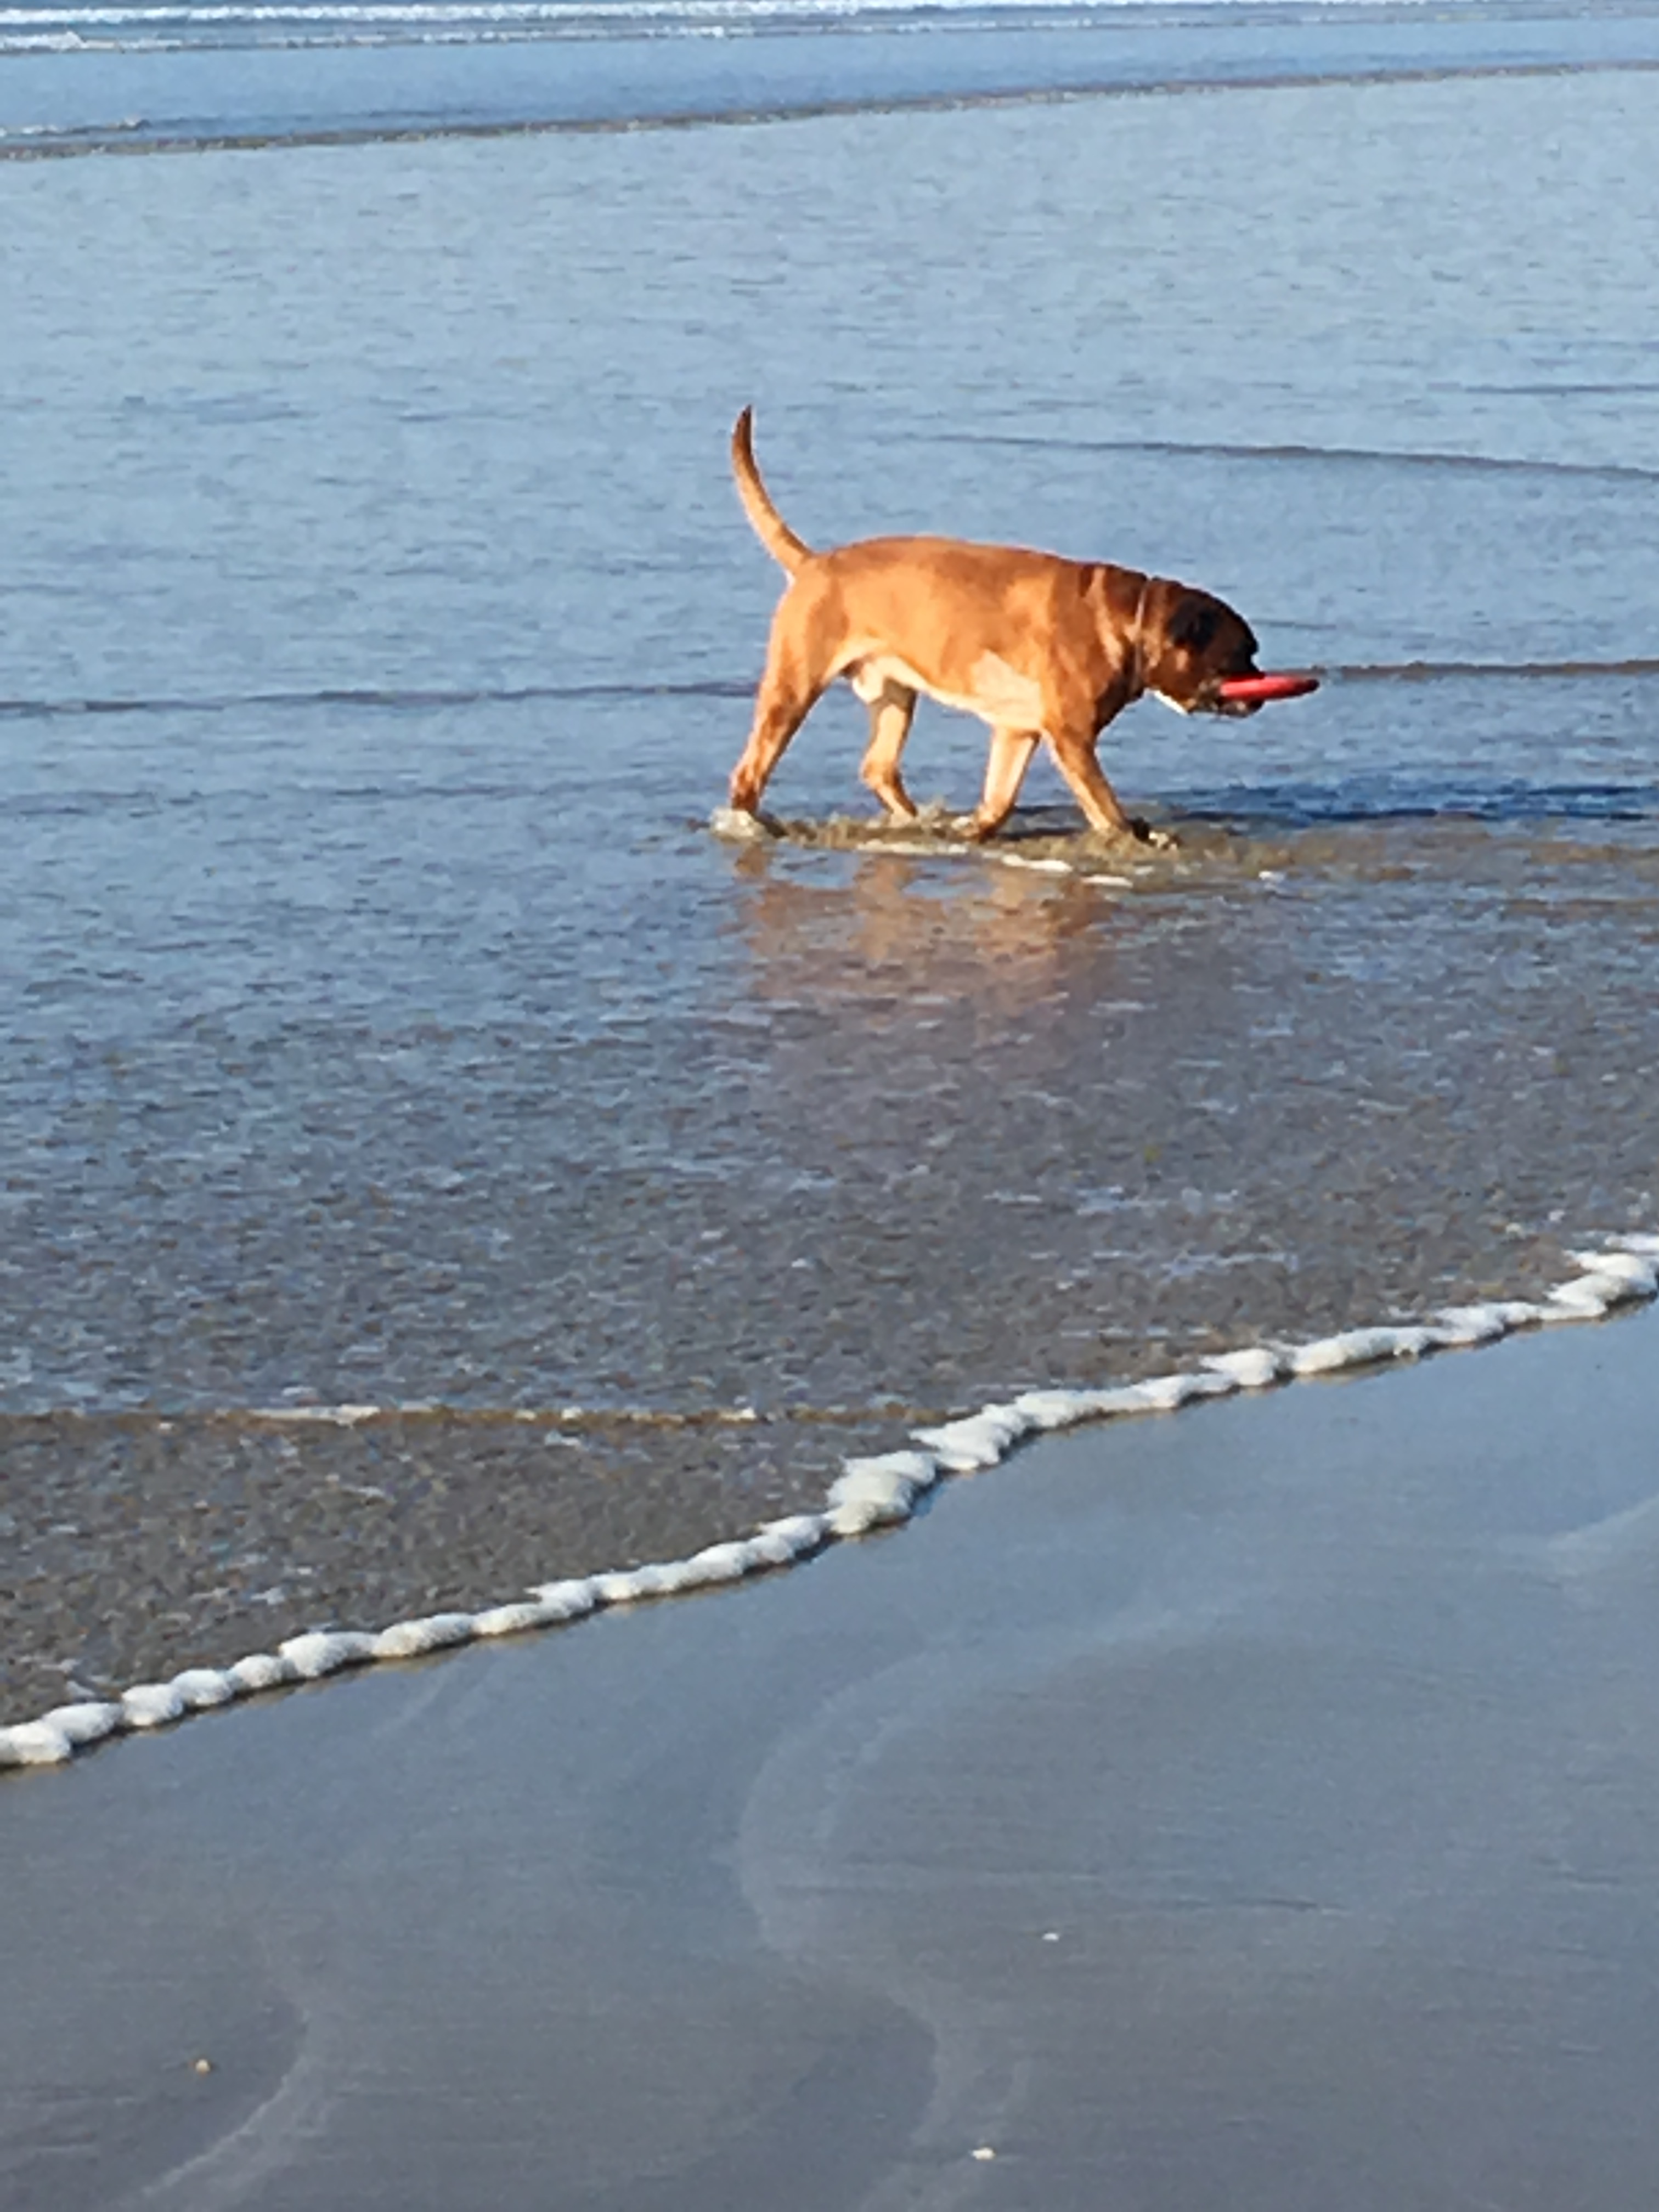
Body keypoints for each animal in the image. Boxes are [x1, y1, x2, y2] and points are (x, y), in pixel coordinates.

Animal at [726, 407, 1264, 844]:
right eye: (1238, 655)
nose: (1260, 687)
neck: (1129, 620)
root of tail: (814, 563)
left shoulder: (1016, 731)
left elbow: (1001, 797)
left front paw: (977, 829)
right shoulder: (1072, 740)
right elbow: (1104, 807)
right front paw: (1132, 839)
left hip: (895, 695)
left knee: (878, 767)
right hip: (792, 690)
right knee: (751, 771)